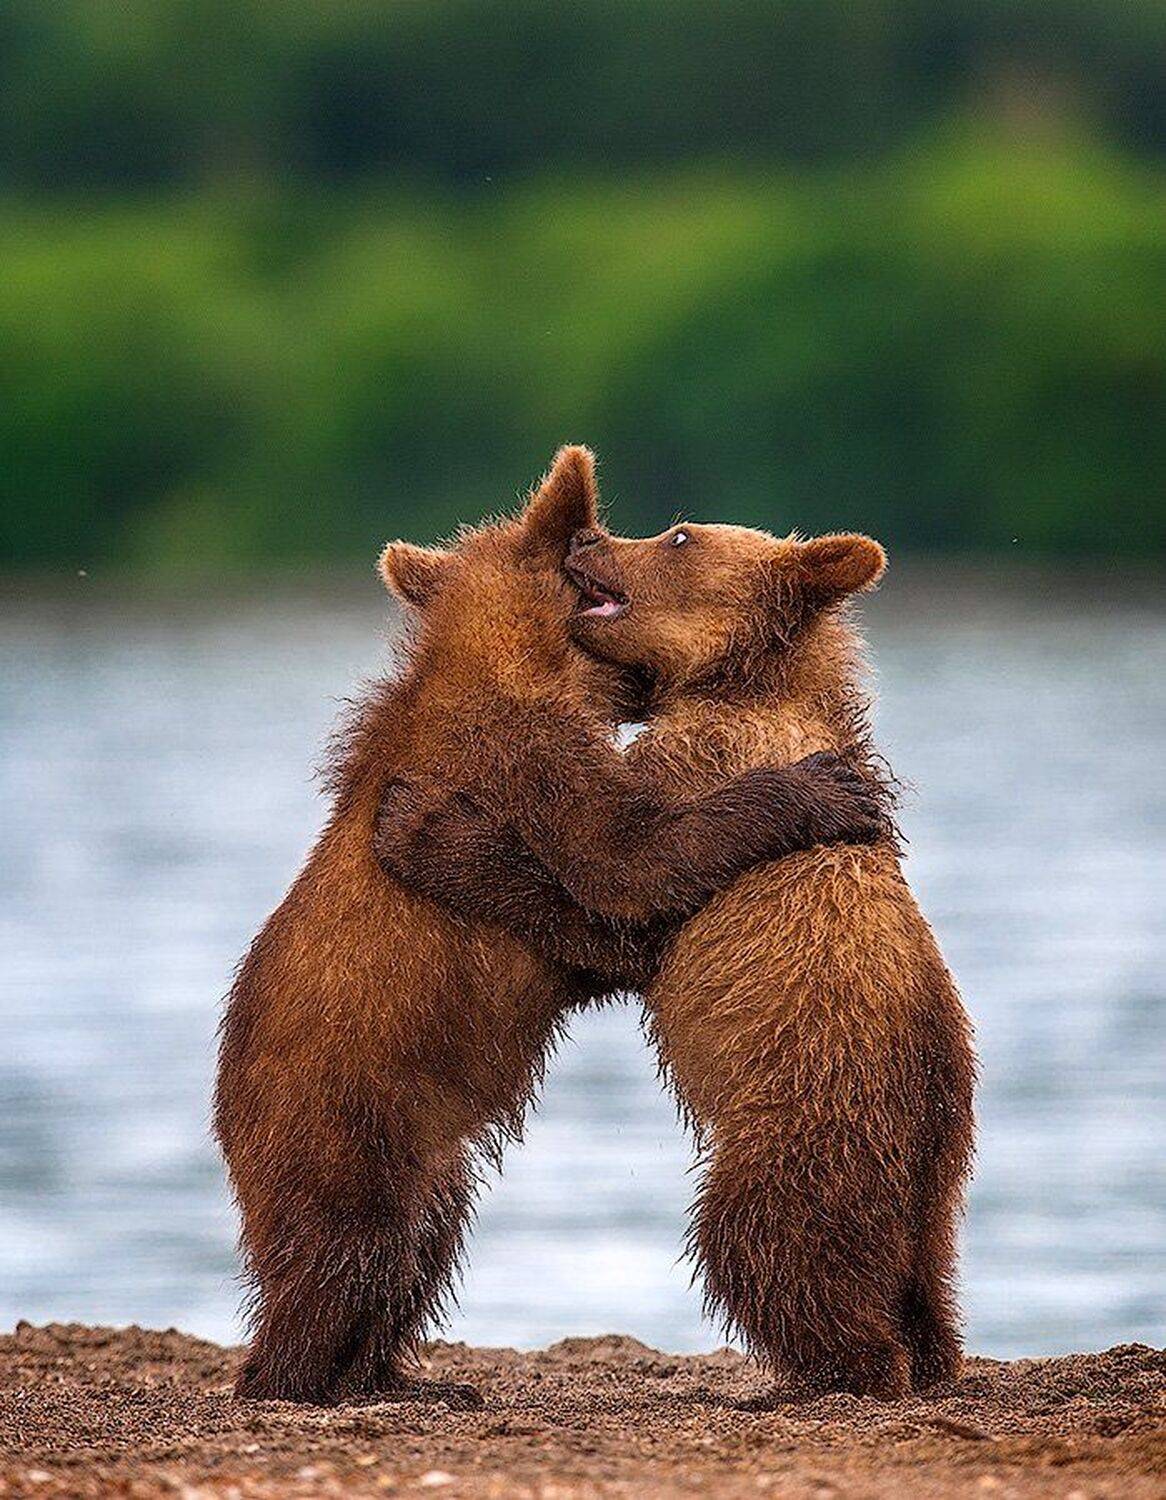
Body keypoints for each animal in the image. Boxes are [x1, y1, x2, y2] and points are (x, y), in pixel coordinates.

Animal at [213, 447, 885, 1404]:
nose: (596, 539)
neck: (525, 662)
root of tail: (227, 1113)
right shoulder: (527, 758)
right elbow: (628, 864)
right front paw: (821, 789)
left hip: (424, 1149)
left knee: (420, 1243)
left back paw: (398, 1377)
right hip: (339, 1109)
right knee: (350, 1246)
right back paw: (297, 1375)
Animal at [373, 515, 976, 1400]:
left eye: (679, 535)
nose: (586, 540)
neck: (745, 682)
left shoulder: (699, 761)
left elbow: (623, 890)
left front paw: (426, 829)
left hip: (807, 1122)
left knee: (763, 1241)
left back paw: (819, 1374)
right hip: (940, 1172)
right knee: (926, 1275)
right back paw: (929, 1355)